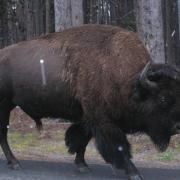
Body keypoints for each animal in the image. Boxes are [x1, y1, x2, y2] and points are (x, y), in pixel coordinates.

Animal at [0, 24, 180, 180]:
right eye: (163, 98)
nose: (177, 127)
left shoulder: (88, 118)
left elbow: (82, 140)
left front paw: (82, 165)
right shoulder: (104, 121)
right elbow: (119, 146)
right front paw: (134, 173)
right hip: (4, 106)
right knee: (3, 134)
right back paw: (15, 163)